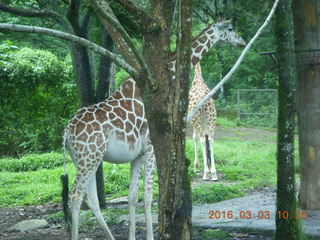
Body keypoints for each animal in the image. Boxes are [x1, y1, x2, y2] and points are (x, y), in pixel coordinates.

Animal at [61, 78, 155, 239]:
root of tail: (67, 132)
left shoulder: (137, 156)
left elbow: (132, 196)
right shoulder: (150, 148)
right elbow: (148, 195)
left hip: (86, 160)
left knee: (90, 198)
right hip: (89, 159)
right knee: (75, 195)